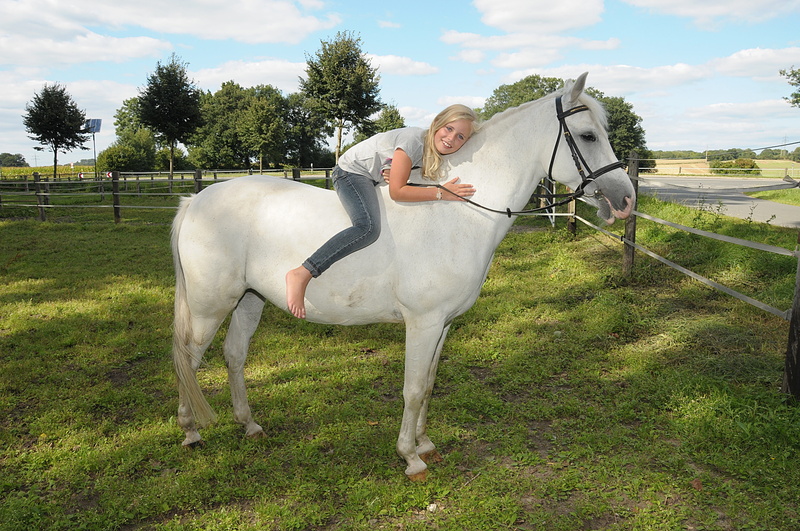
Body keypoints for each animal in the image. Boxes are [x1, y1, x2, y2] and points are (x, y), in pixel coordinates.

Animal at [170, 72, 635, 481]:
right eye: (589, 135)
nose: (626, 199)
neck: (458, 213)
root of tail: (195, 201)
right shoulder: (423, 322)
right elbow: (411, 388)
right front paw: (411, 458)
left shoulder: (443, 324)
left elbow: (427, 384)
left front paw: (425, 443)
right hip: (210, 306)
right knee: (188, 361)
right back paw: (191, 431)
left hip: (249, 299)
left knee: (234, 355)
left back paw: (248, 424)